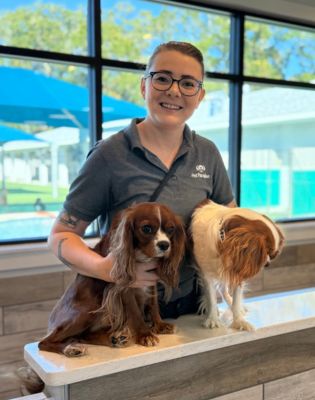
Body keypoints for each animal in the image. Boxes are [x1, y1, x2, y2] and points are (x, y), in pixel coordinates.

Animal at [38, 203, 186, 356]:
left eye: (171, 229)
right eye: (146, 228)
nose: (165, 244)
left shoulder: (150, 281)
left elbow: (153, 304)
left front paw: (160, 325)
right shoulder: (124, 288)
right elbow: (135, 313)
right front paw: (145, 334)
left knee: (84, 335)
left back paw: (114, 338)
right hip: (87, 309)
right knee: (43, 342)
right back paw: (70, 348)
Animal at [191, 200, 286, 332]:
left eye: (272, 255)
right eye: (266, 251)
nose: (267, 263)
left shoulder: (237, 268)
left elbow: (236, 299)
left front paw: (239, 320)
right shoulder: (206, 273)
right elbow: (211, 296)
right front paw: (213, 318)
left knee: (224, 289)